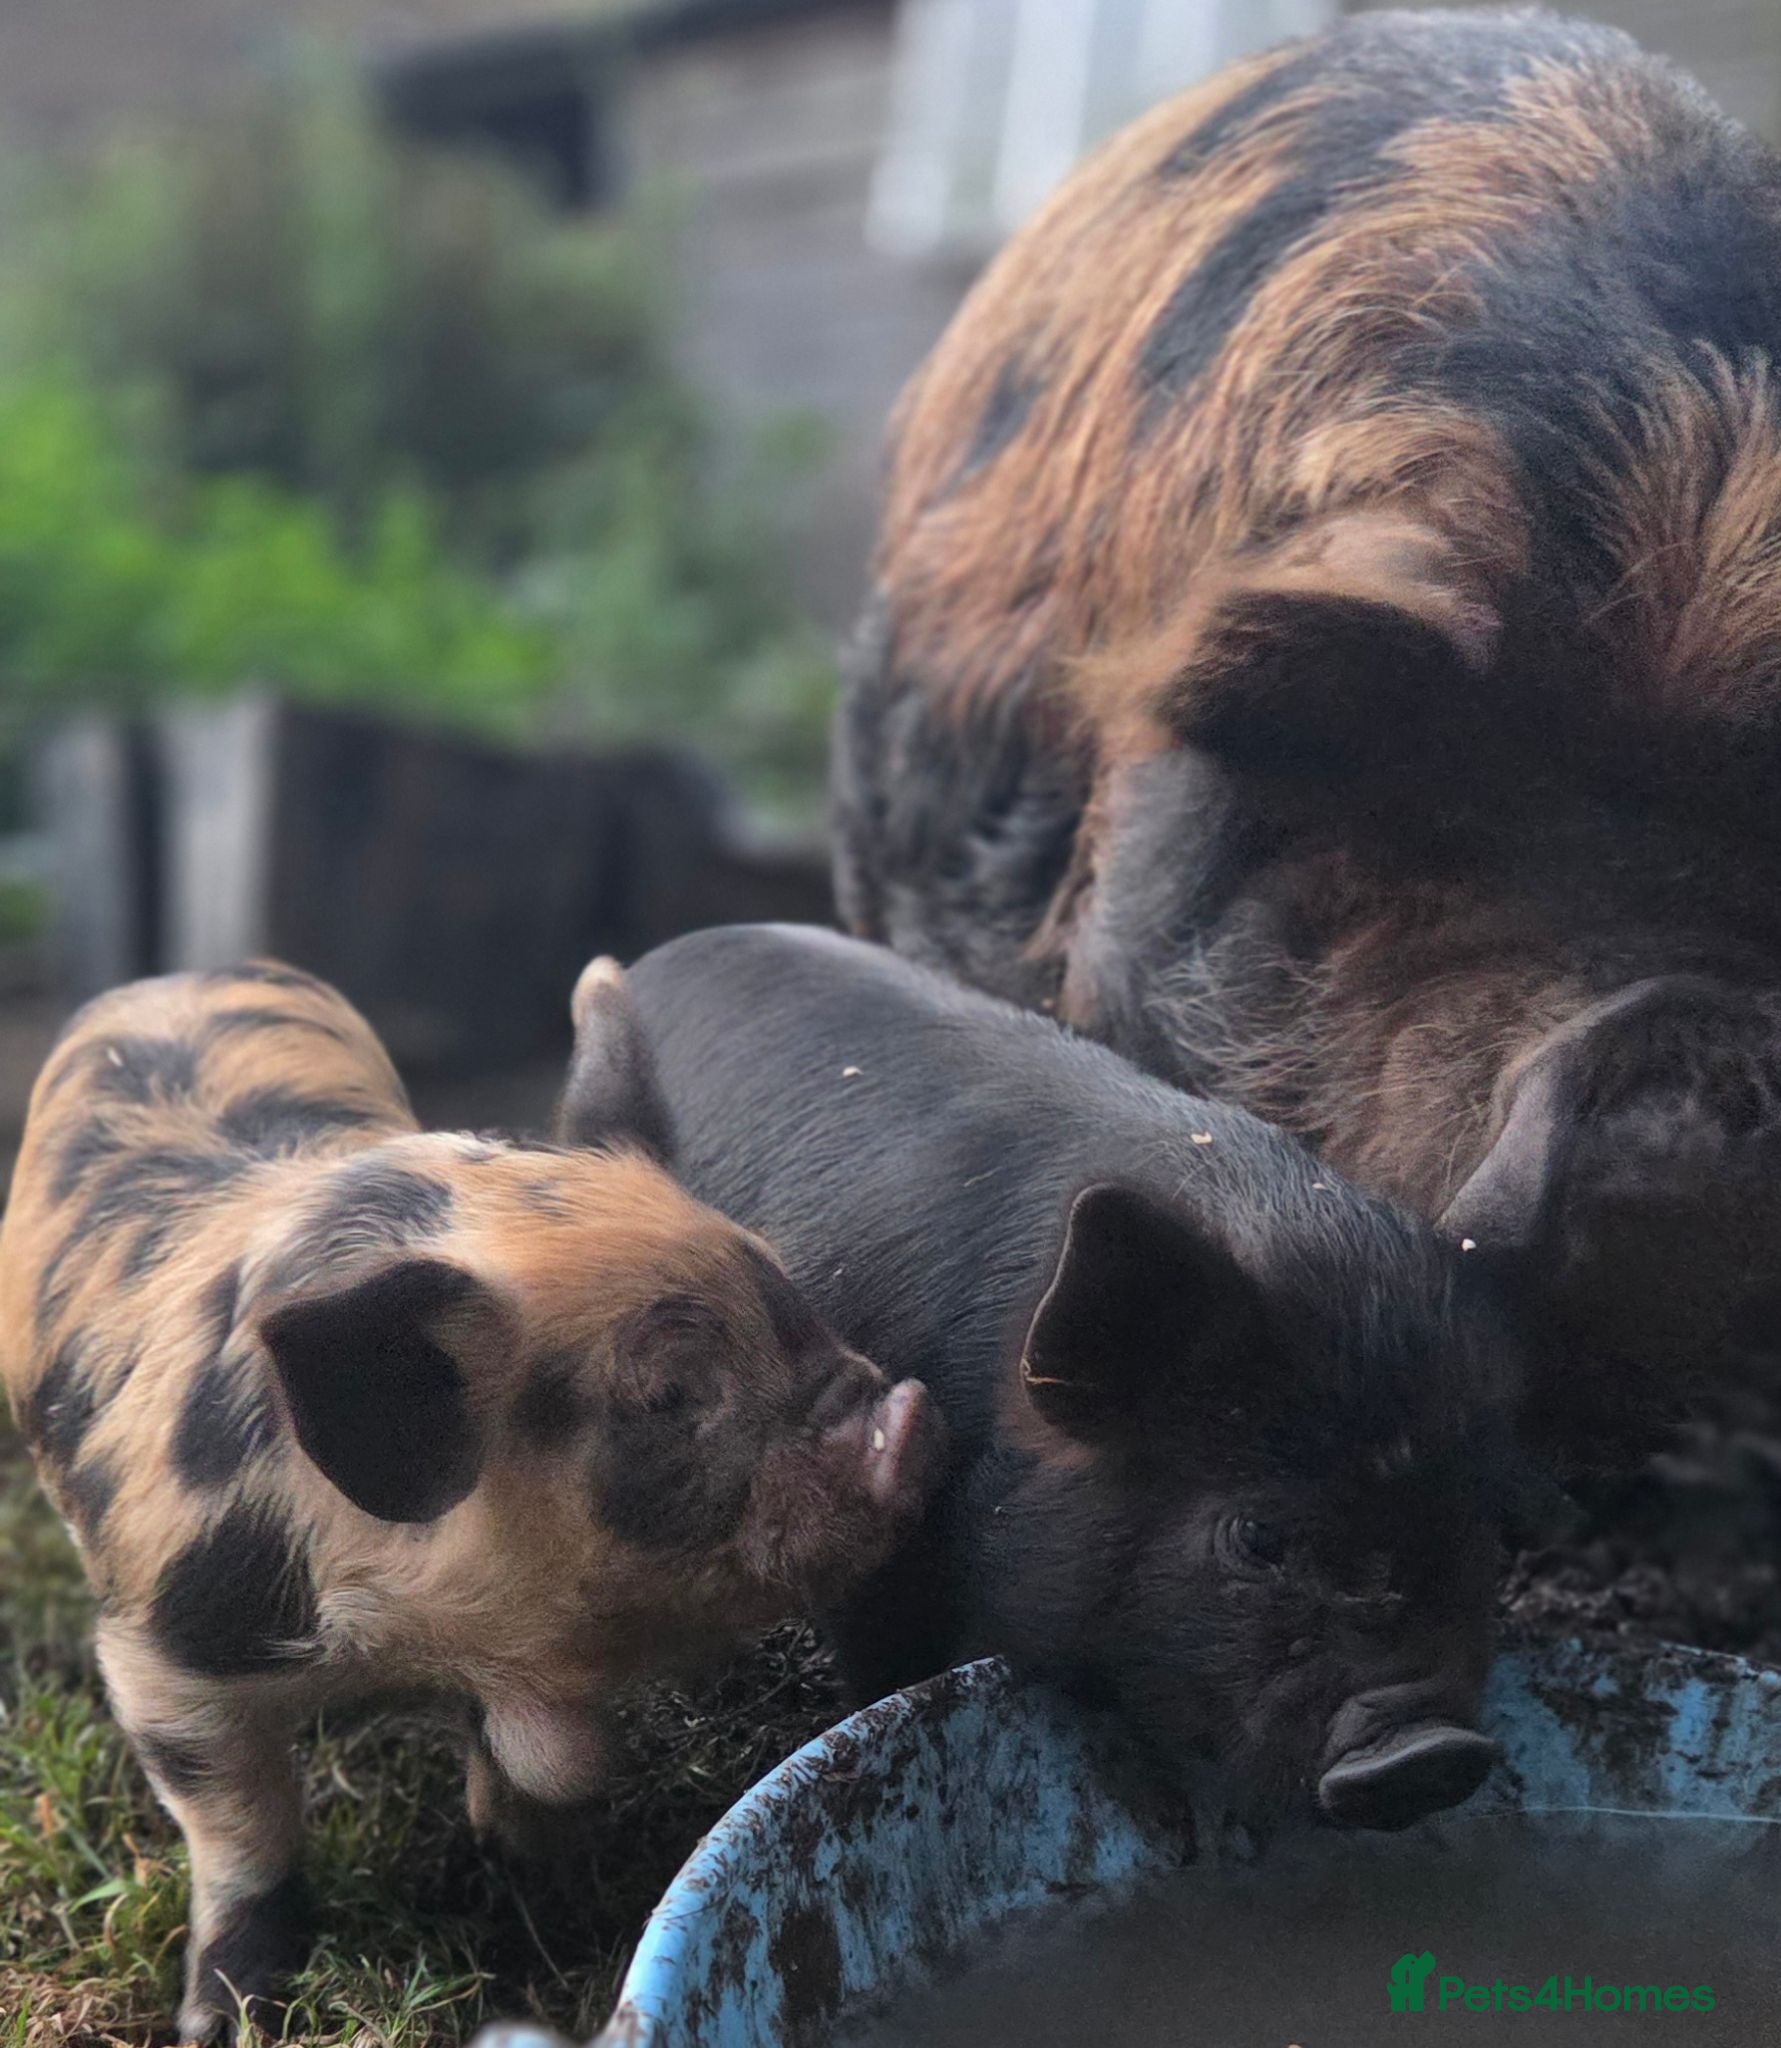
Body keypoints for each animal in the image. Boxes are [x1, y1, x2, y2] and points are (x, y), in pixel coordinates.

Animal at [0, 960, 939, 2040]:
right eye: (667, 1395)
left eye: (792, 1294)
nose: (908, 1412)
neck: (395, 1638)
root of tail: (172, 975)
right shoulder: (163, 1651)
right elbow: (243, 1832)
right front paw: (227, 2018)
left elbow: (553, 1759)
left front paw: (527, 1866)